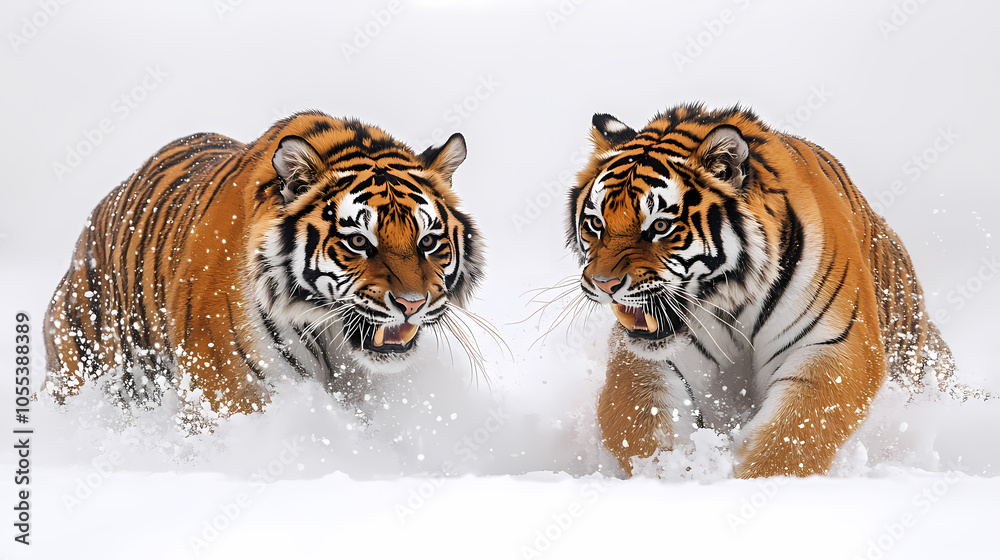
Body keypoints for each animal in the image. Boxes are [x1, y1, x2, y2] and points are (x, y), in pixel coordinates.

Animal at [565, 103, 957, 478]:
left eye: (660, 226)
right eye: (595, 224)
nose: (604, 284)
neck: (730, 297)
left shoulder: (834, 345)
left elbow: (796, 434)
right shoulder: (651, 358)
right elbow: (642, 426)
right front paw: (676, 473)